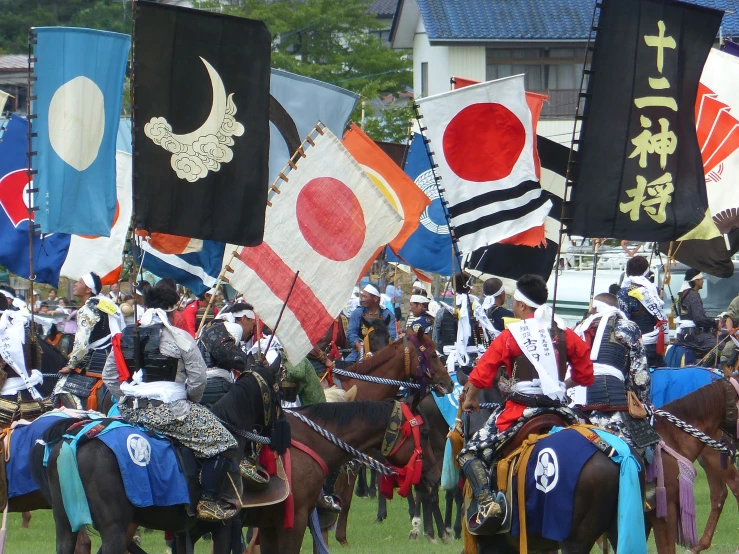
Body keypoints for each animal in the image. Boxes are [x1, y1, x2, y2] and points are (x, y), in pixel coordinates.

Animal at [36, 362, 278, 552]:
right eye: (278, 390)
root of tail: (75, 441)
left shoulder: (184, 532)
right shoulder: (224, 528)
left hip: (65, 525)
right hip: (114, 527)